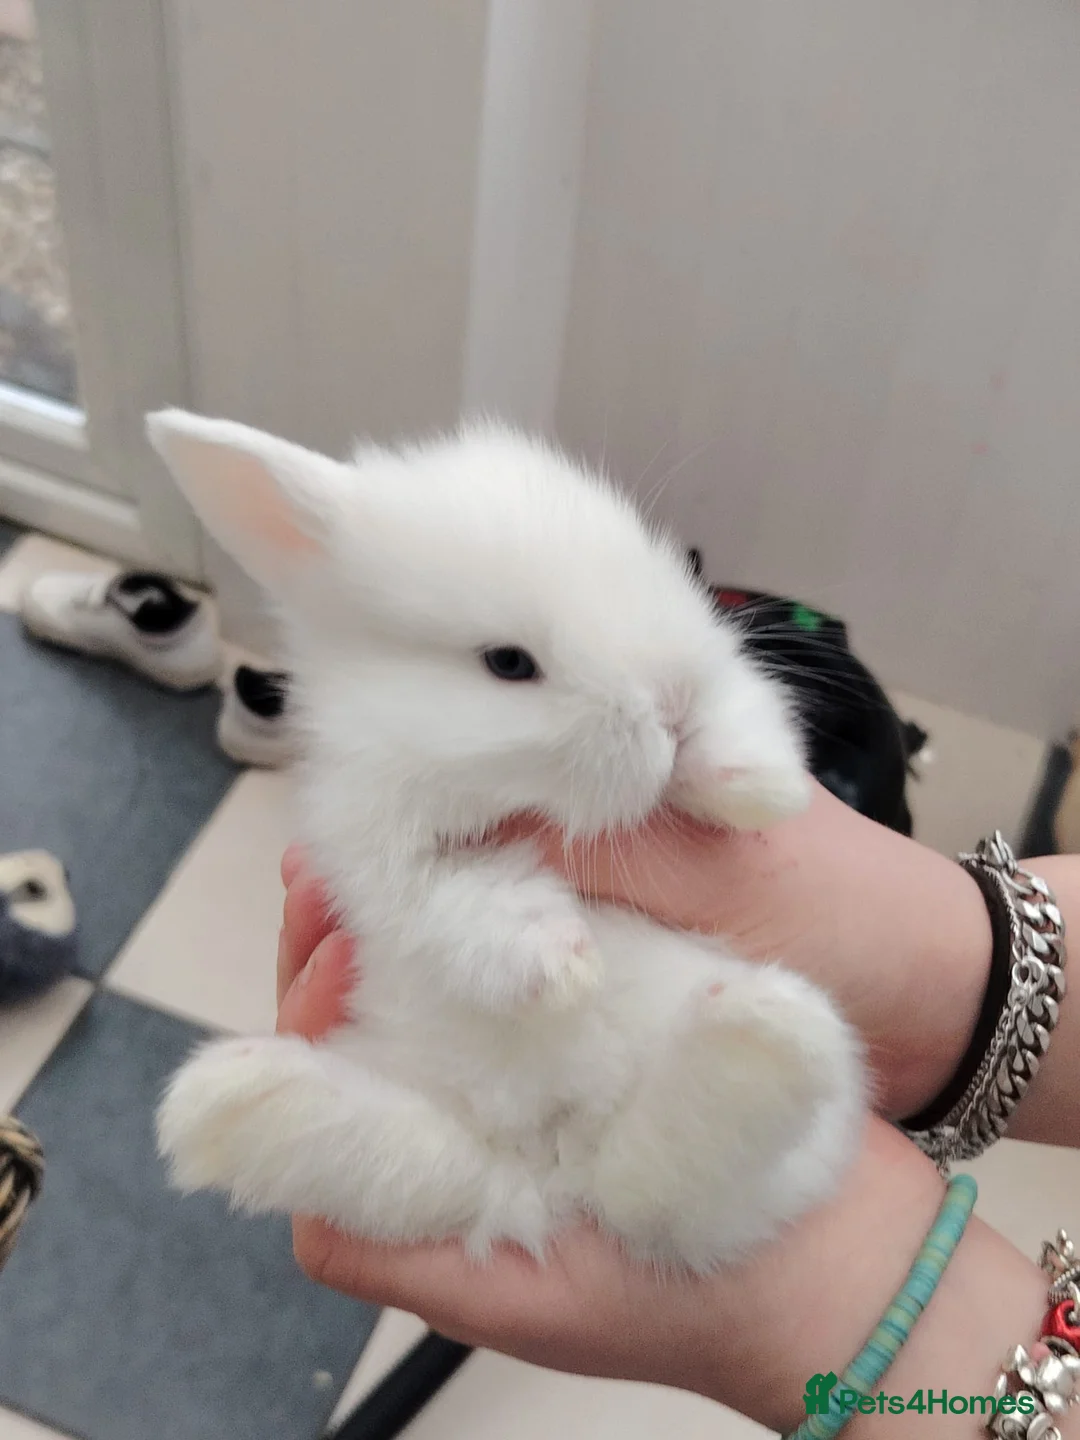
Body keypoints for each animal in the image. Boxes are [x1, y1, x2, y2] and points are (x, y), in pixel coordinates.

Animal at [147, 411, 865, 1272]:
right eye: (508, 663)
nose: (672, 703)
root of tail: (552, 1174)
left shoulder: (732, 681)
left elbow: (745, 707)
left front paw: (754, 784)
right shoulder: (380, 854)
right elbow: (471, 901)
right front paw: (563, 965)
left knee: (662, 1192)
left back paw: (758, 1032)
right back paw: (227, 1105)